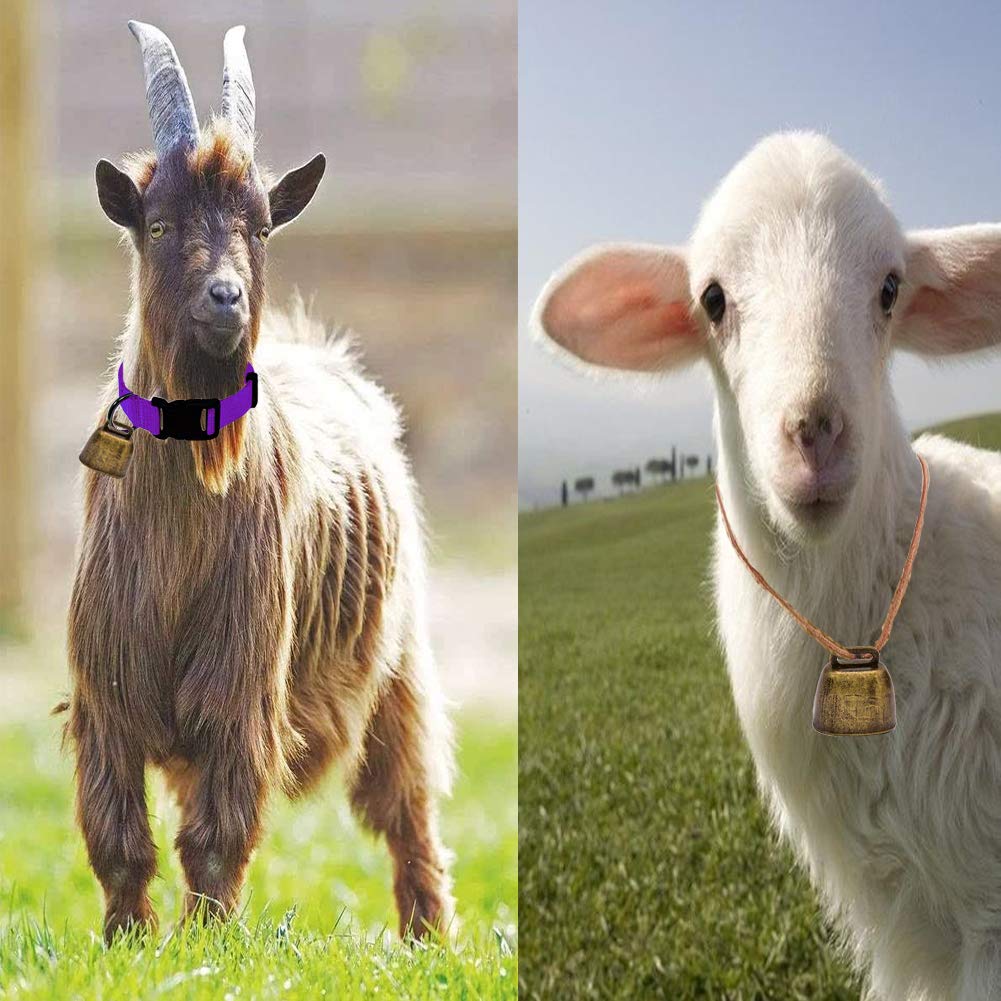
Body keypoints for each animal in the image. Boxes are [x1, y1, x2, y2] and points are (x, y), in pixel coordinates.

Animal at [66, 21, 453, 943]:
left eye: (263, 226)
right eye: (159, 223)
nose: (225, 297)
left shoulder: (241, 679)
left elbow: (216, 835)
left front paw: (208, 941)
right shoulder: (106, 688)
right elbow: (118, 834)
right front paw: (128, 942)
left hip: (398, 663)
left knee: (409, 802)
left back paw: (428, 935)